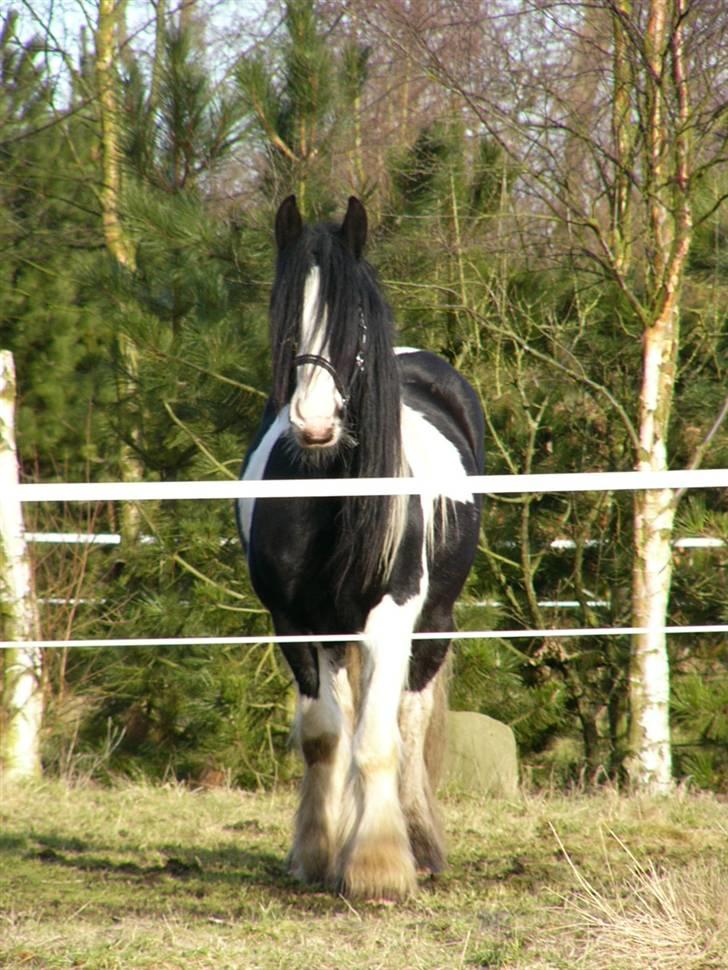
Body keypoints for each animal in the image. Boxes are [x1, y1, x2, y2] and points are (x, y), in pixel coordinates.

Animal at [237, 197, 484, 900]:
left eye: (358, 329)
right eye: (284, 316)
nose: (315, 426)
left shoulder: (391, 617)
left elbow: (378, 738)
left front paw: (376, 866)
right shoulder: (294, 623)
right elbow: (326, 737)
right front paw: (318, 854)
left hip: (433, 624)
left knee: (409, 716)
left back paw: (419, 844)